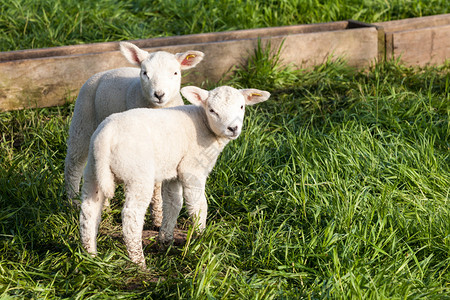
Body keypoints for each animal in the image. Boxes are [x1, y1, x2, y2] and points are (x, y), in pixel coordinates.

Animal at [63, 41, 204, 226]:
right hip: (82, 120)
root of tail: (101, 73)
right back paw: (72, 202)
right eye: (145, 73)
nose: (159, 94)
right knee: (73, 164)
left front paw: (158, 217)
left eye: (175, 72)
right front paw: (156, 217)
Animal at [79, 84, 268, 268]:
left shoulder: (173, 172)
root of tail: (105, 137)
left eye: (242, 106)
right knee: (131, 216)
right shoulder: (191, 168)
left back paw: (91, 255)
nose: (233, 128)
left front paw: (165, 241)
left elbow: (173, 204)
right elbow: (197, 204)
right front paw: (200, 237)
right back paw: (138, 262)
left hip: (92, 170)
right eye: (212, 110)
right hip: (138, 174)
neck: (204, 123)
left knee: (89, 210)